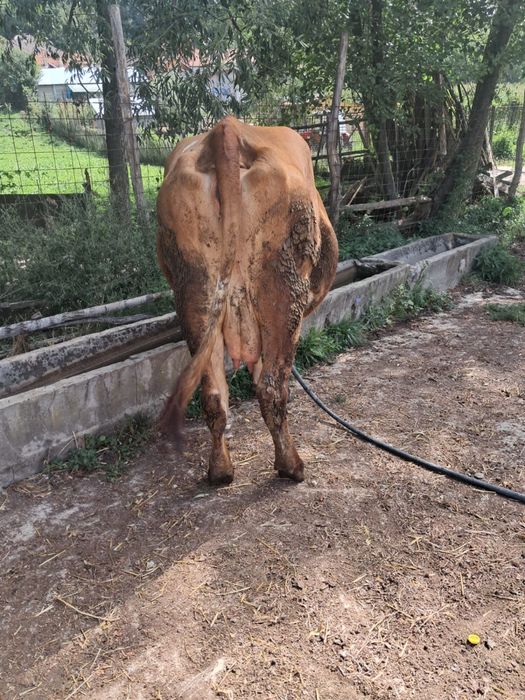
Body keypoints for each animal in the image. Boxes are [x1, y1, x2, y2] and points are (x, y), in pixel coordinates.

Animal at [156, 116, 338, 485]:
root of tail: (227, 130)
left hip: (194, 292)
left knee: (213, 395)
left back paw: (220, 471)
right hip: (282, 294)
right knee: (272, 388)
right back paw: (291, 466)